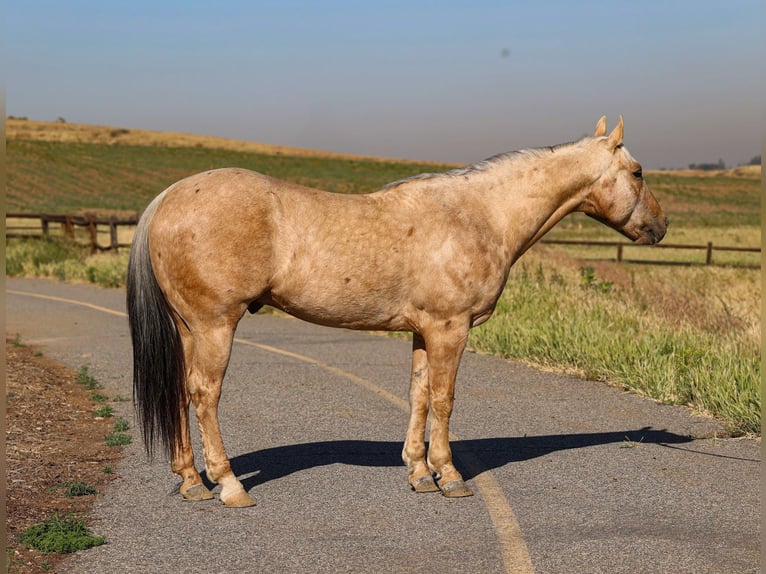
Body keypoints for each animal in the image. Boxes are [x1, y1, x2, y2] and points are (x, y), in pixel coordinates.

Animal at [127, 116, 667, 507]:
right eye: (638, 171)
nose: (660, 227)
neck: (480, 214)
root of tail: (168, 198)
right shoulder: (451, 329)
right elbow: (445, 400)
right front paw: (450, 476)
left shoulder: (424, 331)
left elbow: (419, 396)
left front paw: (419, 472)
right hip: (215, 325)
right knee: (205, 395)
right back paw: (228, 485)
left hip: (188, 328)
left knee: (181, 391)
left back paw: (191, 481)